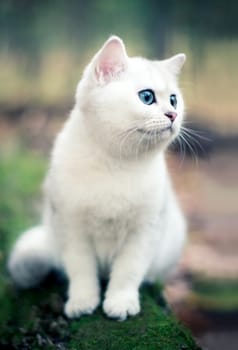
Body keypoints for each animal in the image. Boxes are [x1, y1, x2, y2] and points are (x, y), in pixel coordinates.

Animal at [7, 35, 187, 320]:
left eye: (173, 100)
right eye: (147, 97)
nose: (173, 115)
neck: (116, 164)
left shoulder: (144, 231)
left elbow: (127, 272)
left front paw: (120, 303)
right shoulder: (72, 229)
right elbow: (81, 271)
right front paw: (82, 302)